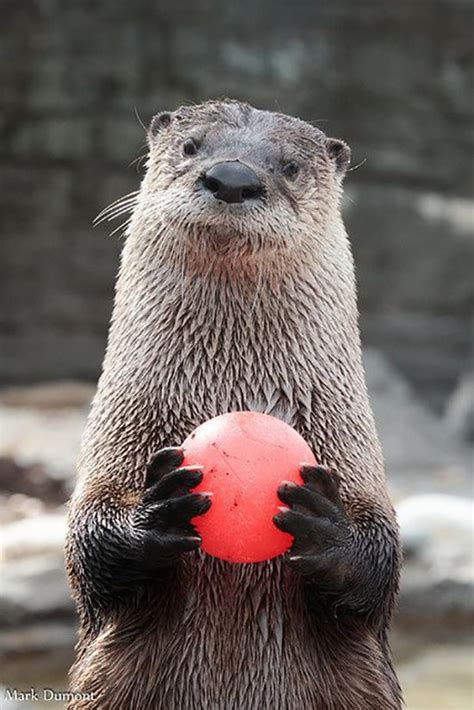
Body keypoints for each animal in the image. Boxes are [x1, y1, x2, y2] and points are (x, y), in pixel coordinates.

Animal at [65, 100, 402, 710]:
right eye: (191, 145)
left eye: (290, 166)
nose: (232, 178)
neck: (232, 387)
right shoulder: (116, 439)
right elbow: (89, 541)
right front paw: (155, 511)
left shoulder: (352, 449)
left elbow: (380, 558)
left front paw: (327, 528)